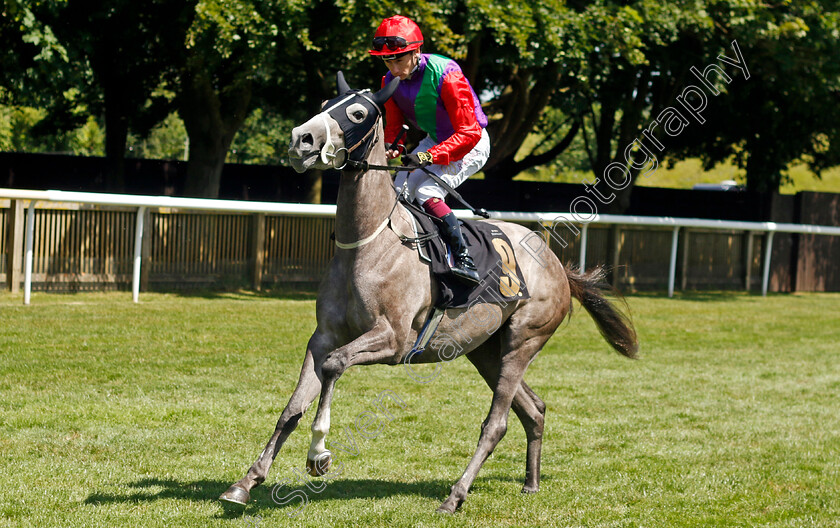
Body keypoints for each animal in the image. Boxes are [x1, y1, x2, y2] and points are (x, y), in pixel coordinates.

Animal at [218, 72, 636, 512]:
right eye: (324, 102)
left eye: (358, 112)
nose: (302, 139)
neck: (370, 241)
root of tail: (558, 265)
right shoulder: (324, 336)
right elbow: (292, 408)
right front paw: (244, 483)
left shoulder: (393, 339)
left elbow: (335, 365)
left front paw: (319, 454)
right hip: (485, 350)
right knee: (533, 409)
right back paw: (531, 483)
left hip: (524, 341)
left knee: (497, 423)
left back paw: (455, 495)